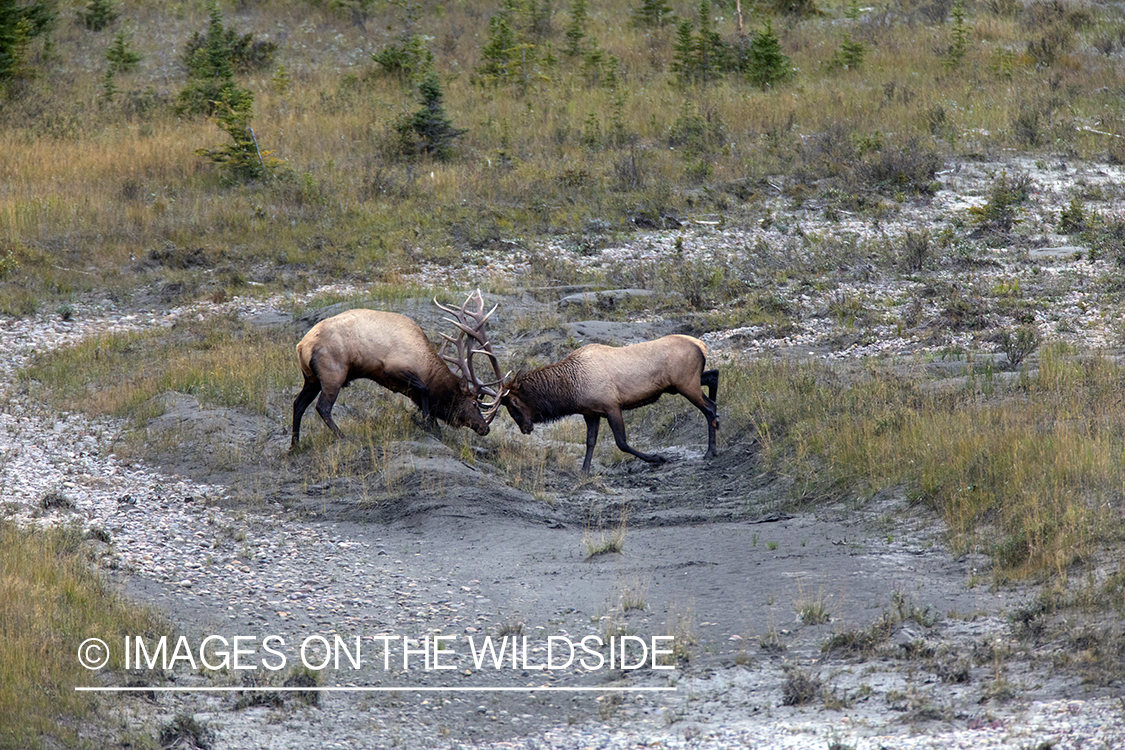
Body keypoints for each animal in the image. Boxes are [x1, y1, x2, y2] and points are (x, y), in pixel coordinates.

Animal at [290, 292, 497, 451]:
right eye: (474, 404)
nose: (485, 428)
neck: (424, 364)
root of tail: (302, 346)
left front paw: (431, 425)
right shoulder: (392, 368)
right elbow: (424, 390)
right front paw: (425, 424)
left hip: (311, 378)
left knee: (298, 404)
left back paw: (294, 445)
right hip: (333, 374)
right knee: (322, 407)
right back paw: (344, 437)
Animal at [440, 299, 720, 474]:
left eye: (514, 404)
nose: (525, 429)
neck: (570, 392)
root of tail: (701, 345)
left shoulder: (611, 404)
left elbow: (621, 442)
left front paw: (657, 458)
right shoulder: (590, 412)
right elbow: (590, 442)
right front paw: (584, 471)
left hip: (685, 383)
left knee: (709, 407)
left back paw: (710, 451)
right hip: (686, 381)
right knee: (714, 377)